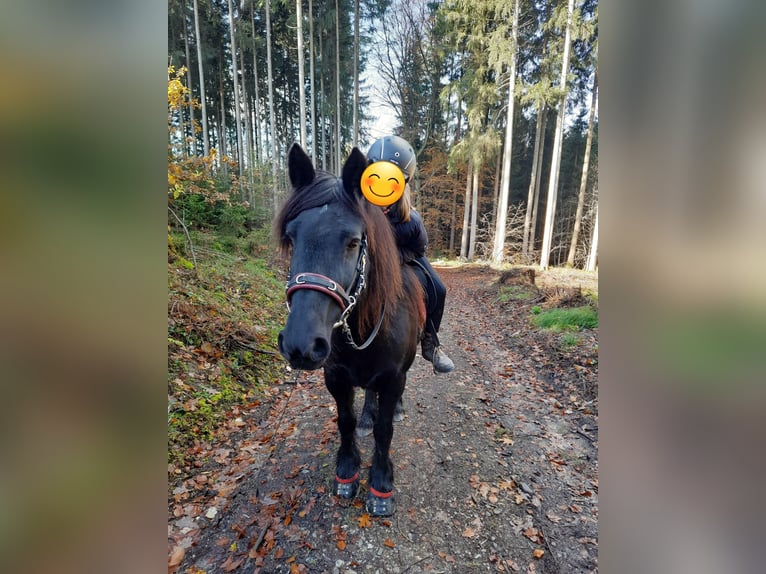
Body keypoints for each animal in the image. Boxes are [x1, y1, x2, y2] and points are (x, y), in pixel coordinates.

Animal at [275, 143, 425, 516]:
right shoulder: (336, 376)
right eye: (291, 238)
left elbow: (385, 430)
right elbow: (345, 421)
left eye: (354, 242)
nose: (300, 344)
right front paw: (347, 469)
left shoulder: (393, 378)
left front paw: (381, 482)